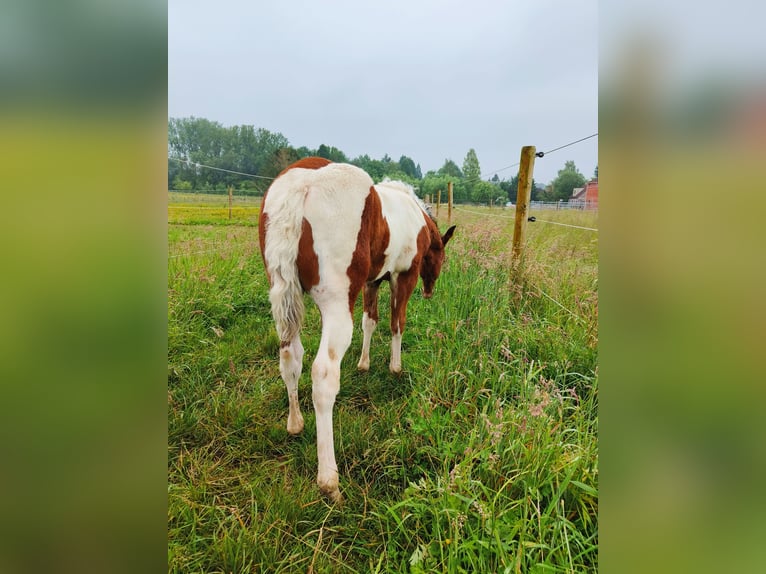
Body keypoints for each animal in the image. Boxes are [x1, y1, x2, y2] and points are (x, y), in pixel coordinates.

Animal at [260, 159, 456, 504]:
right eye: (440, 256)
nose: (430, 291)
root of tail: (301, 186)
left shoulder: (372, 280)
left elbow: (370, 320)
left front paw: (364, 364)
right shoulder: (403, 276)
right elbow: (396, 322)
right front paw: (395, 367)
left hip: (284, 300)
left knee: (290, 358)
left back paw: (295, 424)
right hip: (336, 306)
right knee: (323, 375)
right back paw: (329, 481)